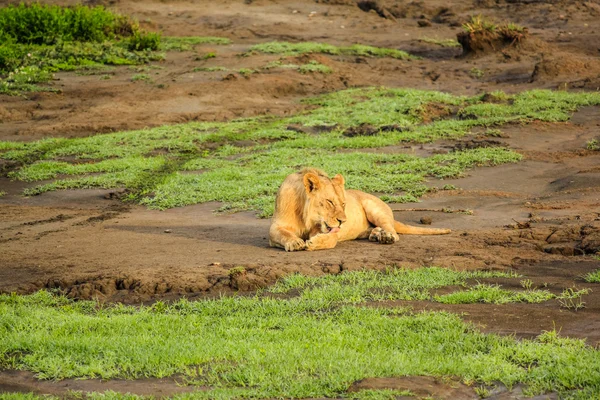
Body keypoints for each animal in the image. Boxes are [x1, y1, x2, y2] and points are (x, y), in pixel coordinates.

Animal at [268, 168, 450, 250]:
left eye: (343, 203)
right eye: (330, 202)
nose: (343, 221)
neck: (306, 216)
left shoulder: (330, 232)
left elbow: (330, 239)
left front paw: (313, 242)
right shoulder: (276, 227)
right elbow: (283, 234)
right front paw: (295, 242)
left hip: (374, 208)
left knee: (393, 231)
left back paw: (386, 236)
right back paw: (376, 234)